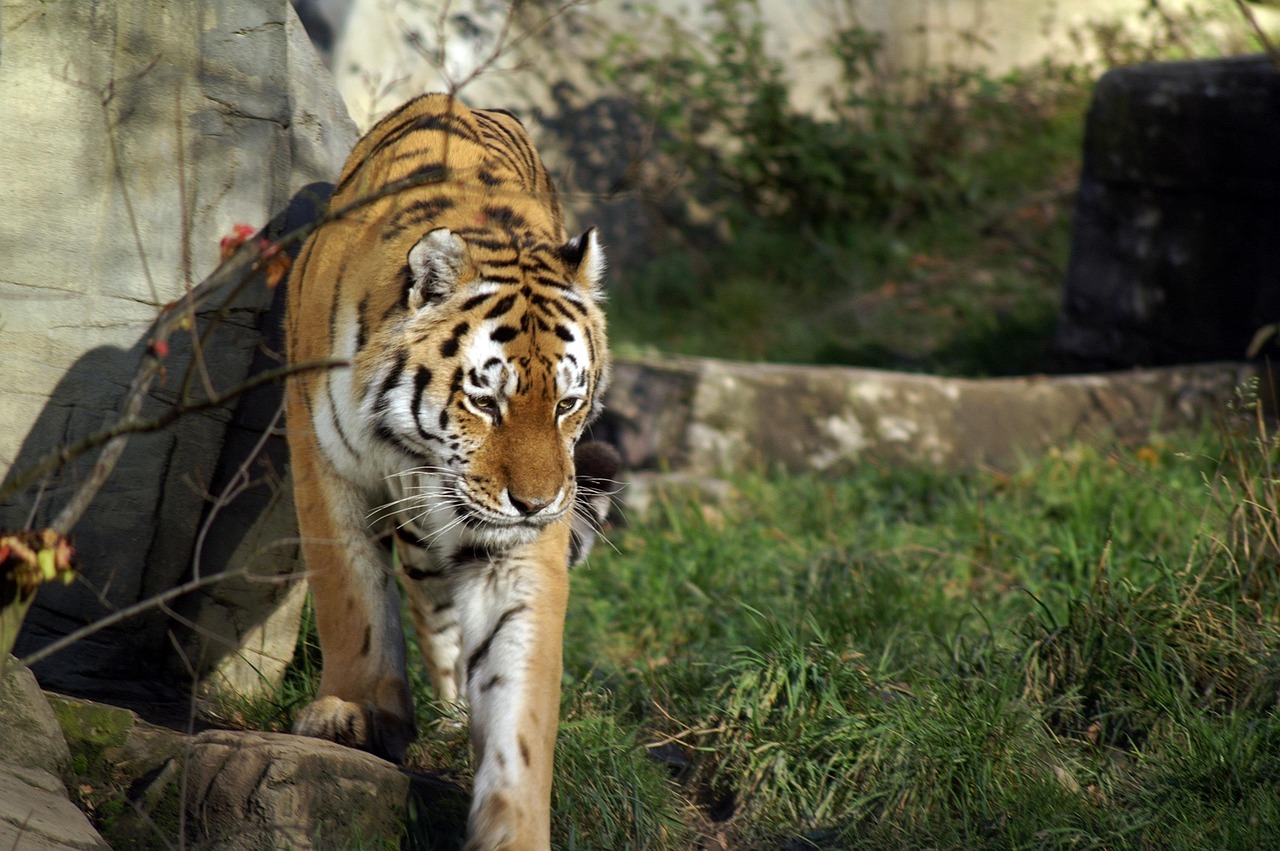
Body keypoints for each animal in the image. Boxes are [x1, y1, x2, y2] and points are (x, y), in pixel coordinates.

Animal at [283, 92, 613, 851]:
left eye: (567, 404)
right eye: (486, 401)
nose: (536, 502)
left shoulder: (520, 550)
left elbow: (520, 698)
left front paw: (514, 825)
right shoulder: (322, 462)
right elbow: (350, 595)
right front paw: (353, 712)